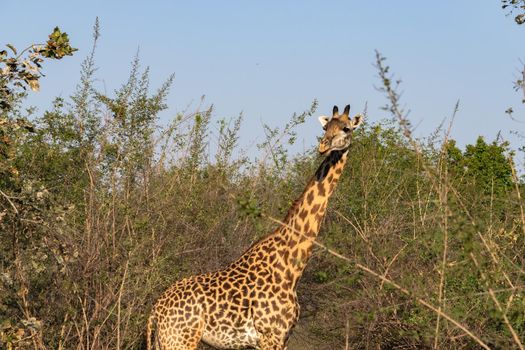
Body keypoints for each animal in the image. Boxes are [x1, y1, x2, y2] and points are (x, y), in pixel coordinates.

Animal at [145, 104, 362, 350]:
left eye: (346, 128)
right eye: (325, 128)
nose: (323, 145)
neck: (291, 267)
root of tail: (156, 311)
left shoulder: (281, 338)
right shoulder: (271, 336)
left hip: (164, 341)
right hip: (180, 340)